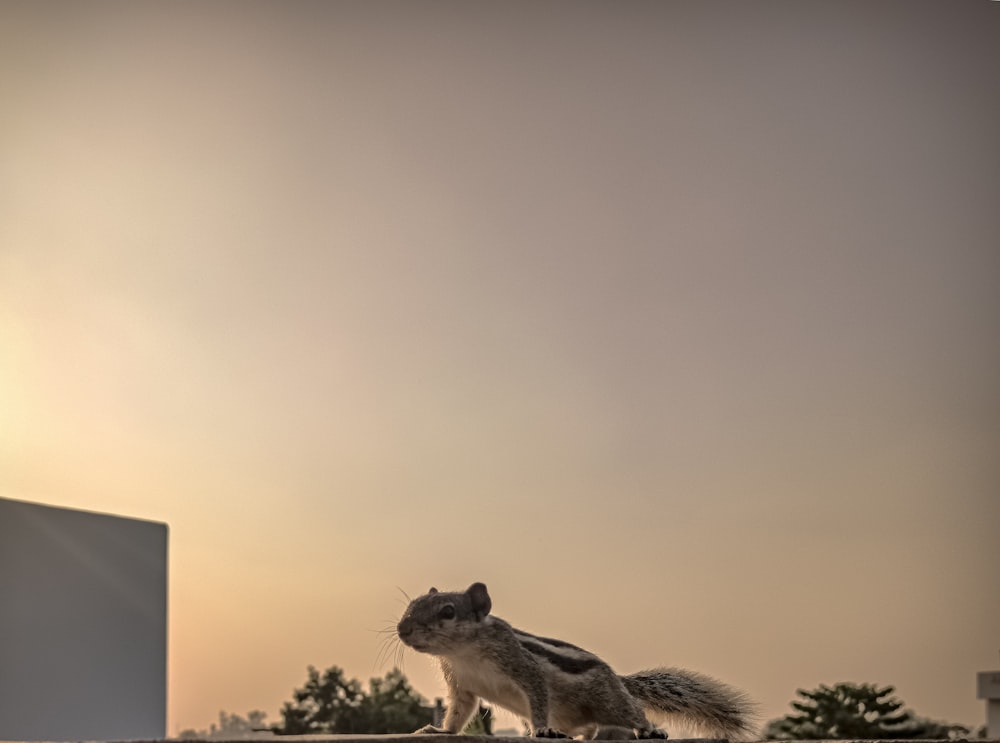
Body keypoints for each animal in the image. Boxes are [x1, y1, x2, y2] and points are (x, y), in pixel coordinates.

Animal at [394, 588, 752, 740]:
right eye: (411, 605)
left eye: (448, 611)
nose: (402, 629)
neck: (463, 652)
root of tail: (617, 678)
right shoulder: (461, 686)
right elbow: (459, 712)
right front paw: (440, 729)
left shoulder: (523, 666)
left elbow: (538, 694)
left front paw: (540, 728)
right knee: (590, 729)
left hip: (611, 702)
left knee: (633, 711)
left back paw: (650, 729)